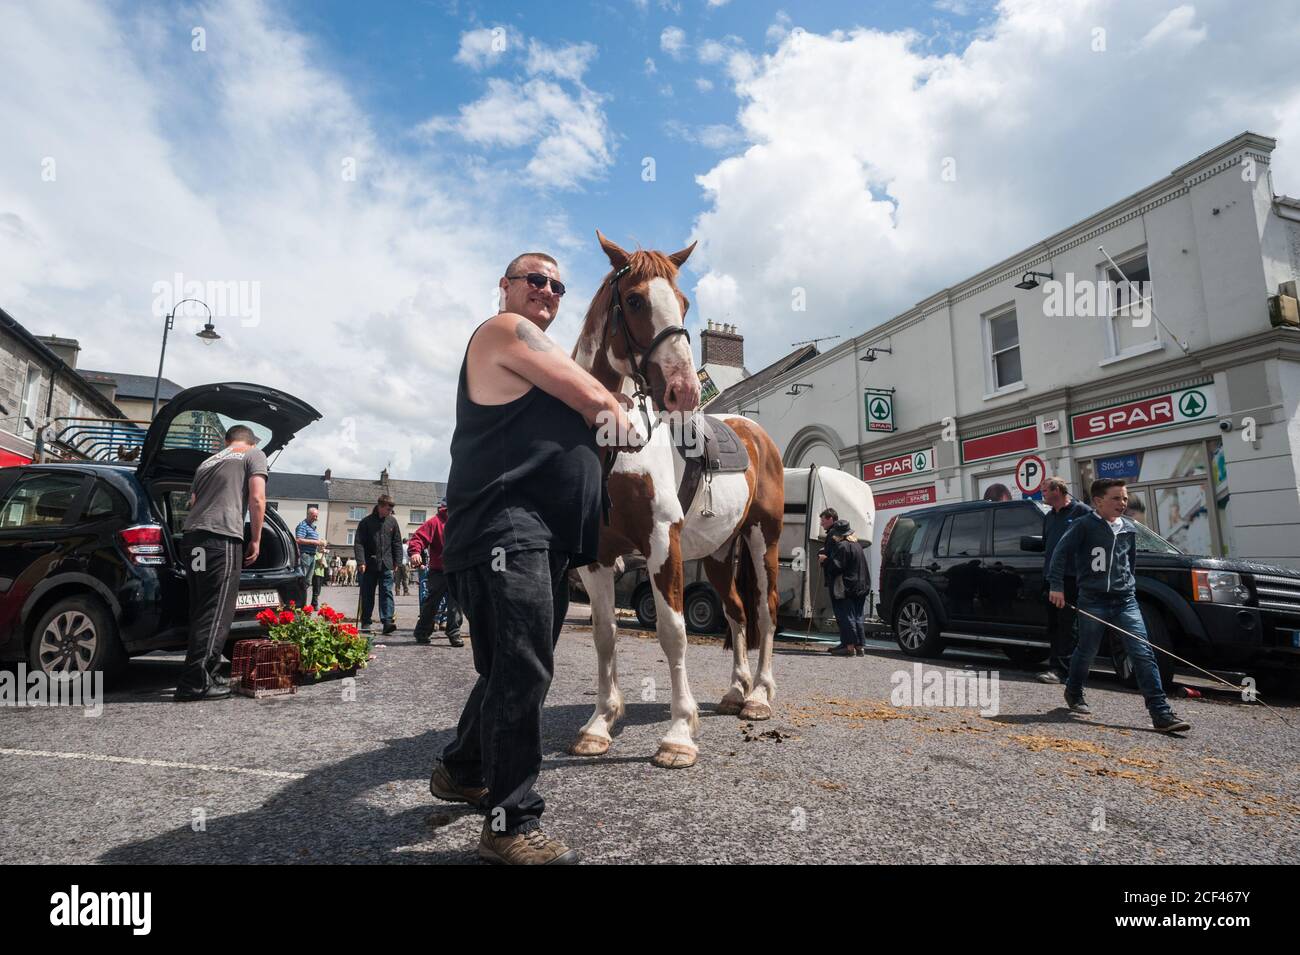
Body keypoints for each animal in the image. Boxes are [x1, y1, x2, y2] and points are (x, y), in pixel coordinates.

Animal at [569, 231, 780, 769]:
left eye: (683, 303)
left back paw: (759, 696)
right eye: (635, 300)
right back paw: (734, 691)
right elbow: (605, 633)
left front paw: (680, 733)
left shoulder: (663, 543)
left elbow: (674, 631)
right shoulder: (597, 556)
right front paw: (600, 723)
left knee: (765, 609)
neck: (618, 444)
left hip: (761, 540)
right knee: (737, 613)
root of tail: (756, 435)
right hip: (721, 554)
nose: (684, 391)